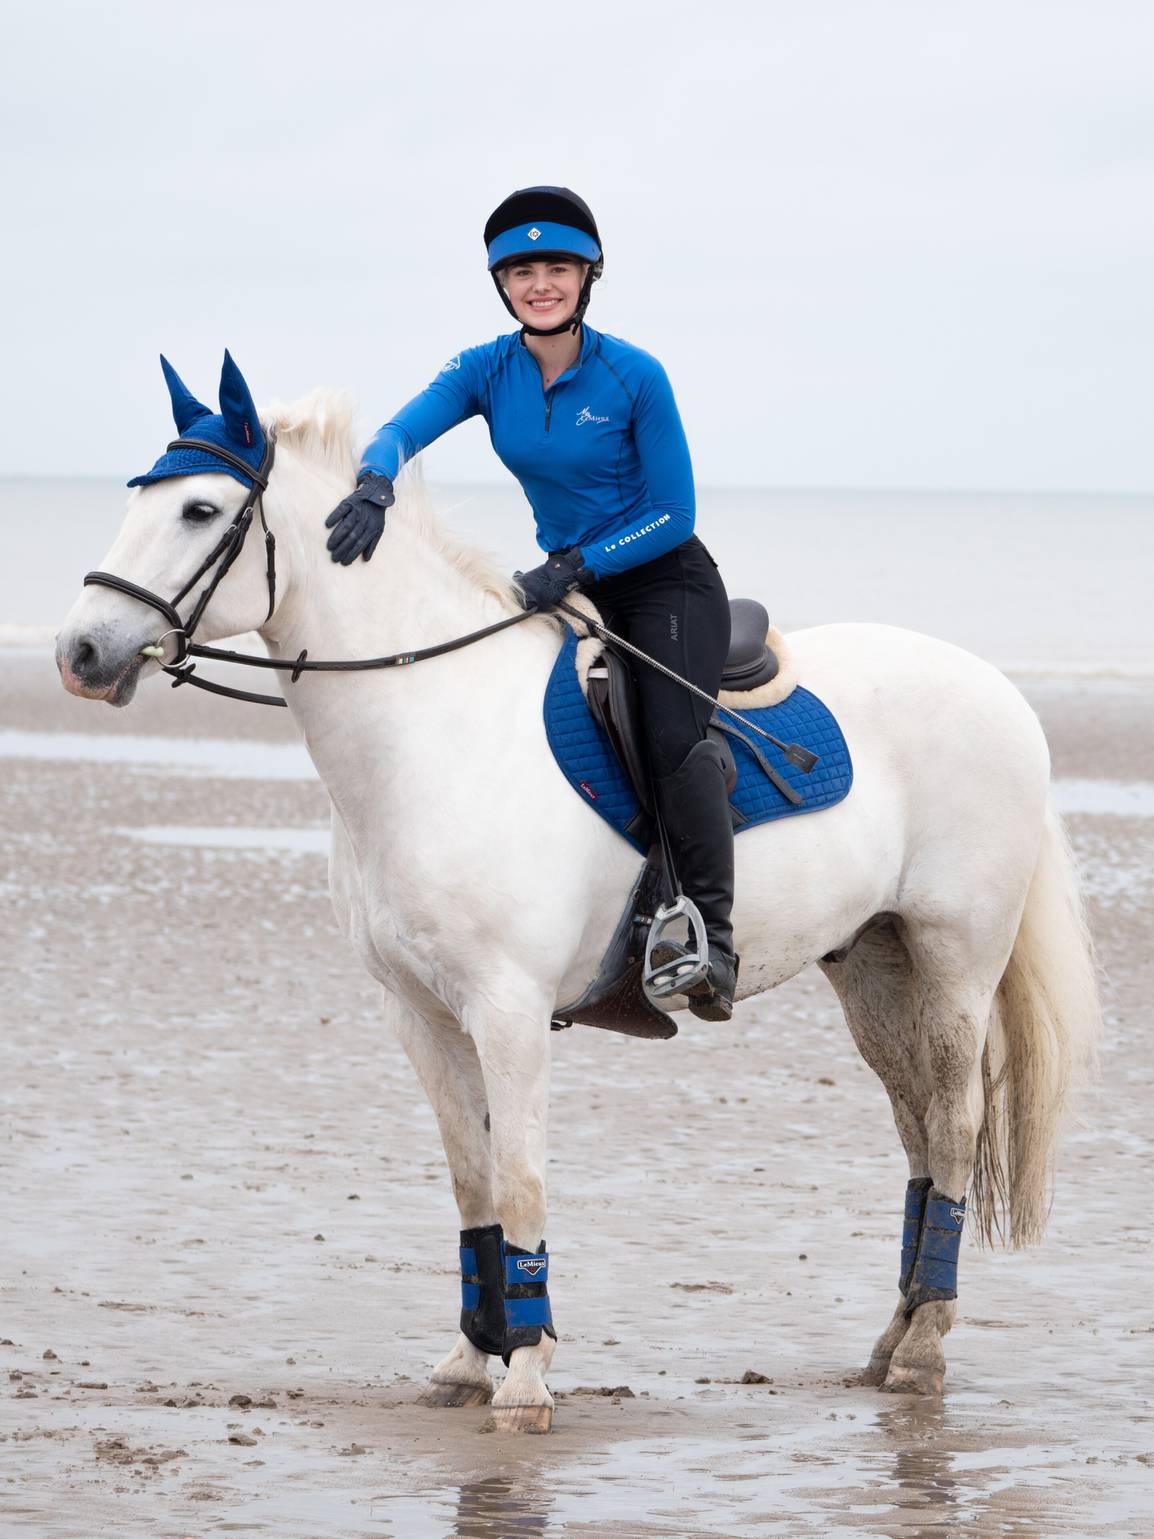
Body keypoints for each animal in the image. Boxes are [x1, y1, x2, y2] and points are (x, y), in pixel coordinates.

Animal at [56, 357, 1100, 1433]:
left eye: (199, 508)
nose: (80, 653)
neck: (431, 726)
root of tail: (995, 688)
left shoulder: (507, 1010)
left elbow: (518, 1180)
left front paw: (524, 1374)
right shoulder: (420, 1015)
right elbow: (471, 1183)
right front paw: (469, 1357)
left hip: (954, 960)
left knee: (956, 1125)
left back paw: (923, 1347)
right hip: (874, 967)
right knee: (919, 1129)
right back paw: (894, 1337)